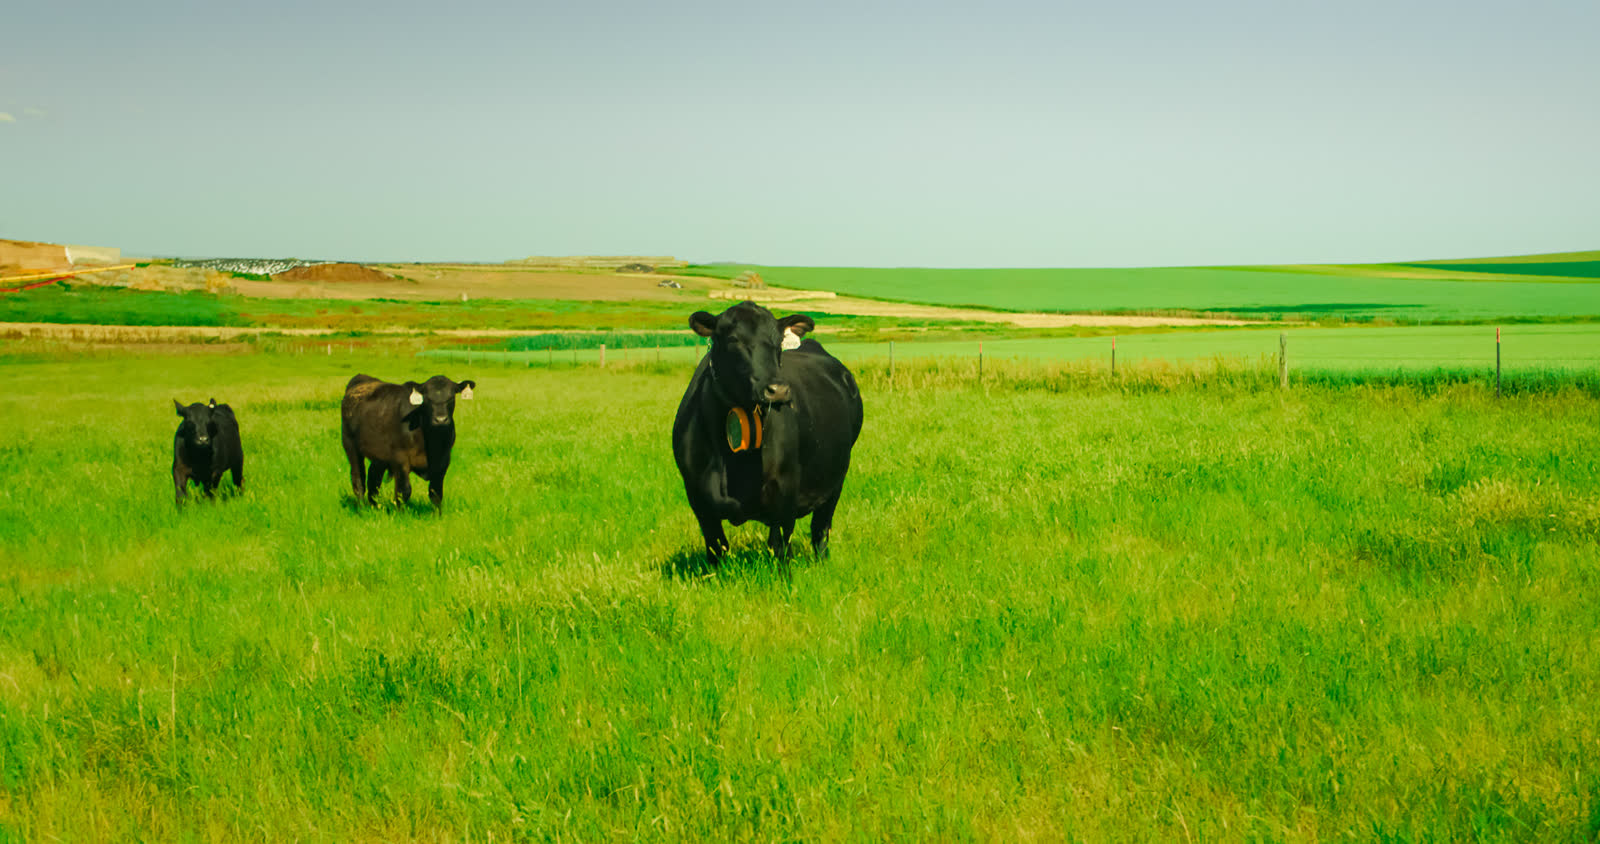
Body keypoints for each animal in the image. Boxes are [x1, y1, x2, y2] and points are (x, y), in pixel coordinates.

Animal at [341, 374, 476, 511]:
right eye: (427, 399)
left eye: (451, 397)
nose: (441, 419)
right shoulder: (400, 458)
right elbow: (403, 491)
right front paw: (401, 513)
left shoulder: (443, 460)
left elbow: (436, 493)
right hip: (350, 445)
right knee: (358, 478)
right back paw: (362, 508)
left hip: (379, 455)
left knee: (374, 478)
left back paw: (375, 507)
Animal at [672, 301, 864, 565]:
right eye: (733, 339)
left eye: (778, 342)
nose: (778, 390)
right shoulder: (698, 498)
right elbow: (716, 549)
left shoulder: (784, 491)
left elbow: (781, 547)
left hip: (836, 479)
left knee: (820, 530)